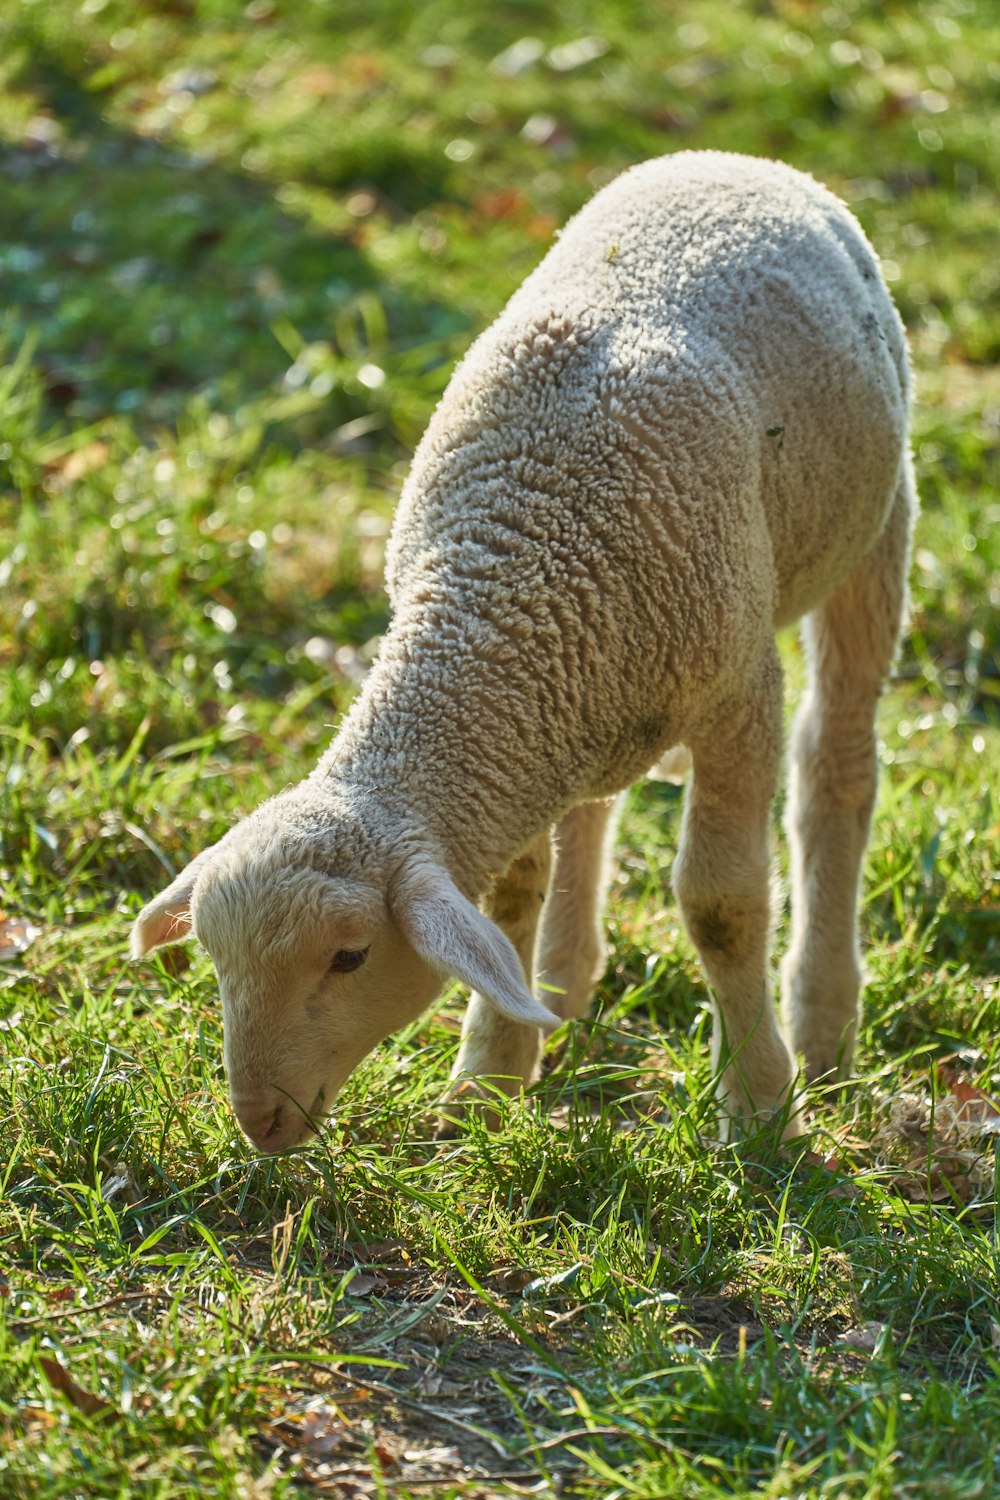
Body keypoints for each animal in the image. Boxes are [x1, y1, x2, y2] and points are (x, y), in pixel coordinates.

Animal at [131, 152, 917, 1152]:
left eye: (350, 957)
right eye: (214, 959)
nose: (260, 1123)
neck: (509, 584)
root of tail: (733, 158)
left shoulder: (737, 691)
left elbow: (722, 904)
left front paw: (758, 1107)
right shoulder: (538, 706)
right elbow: (509, 897)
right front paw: (491, 1079)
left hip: (877, 523)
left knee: (836, 765)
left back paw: (823, 1022)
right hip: (601, 698)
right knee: (589, 807)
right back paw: (561, 984)